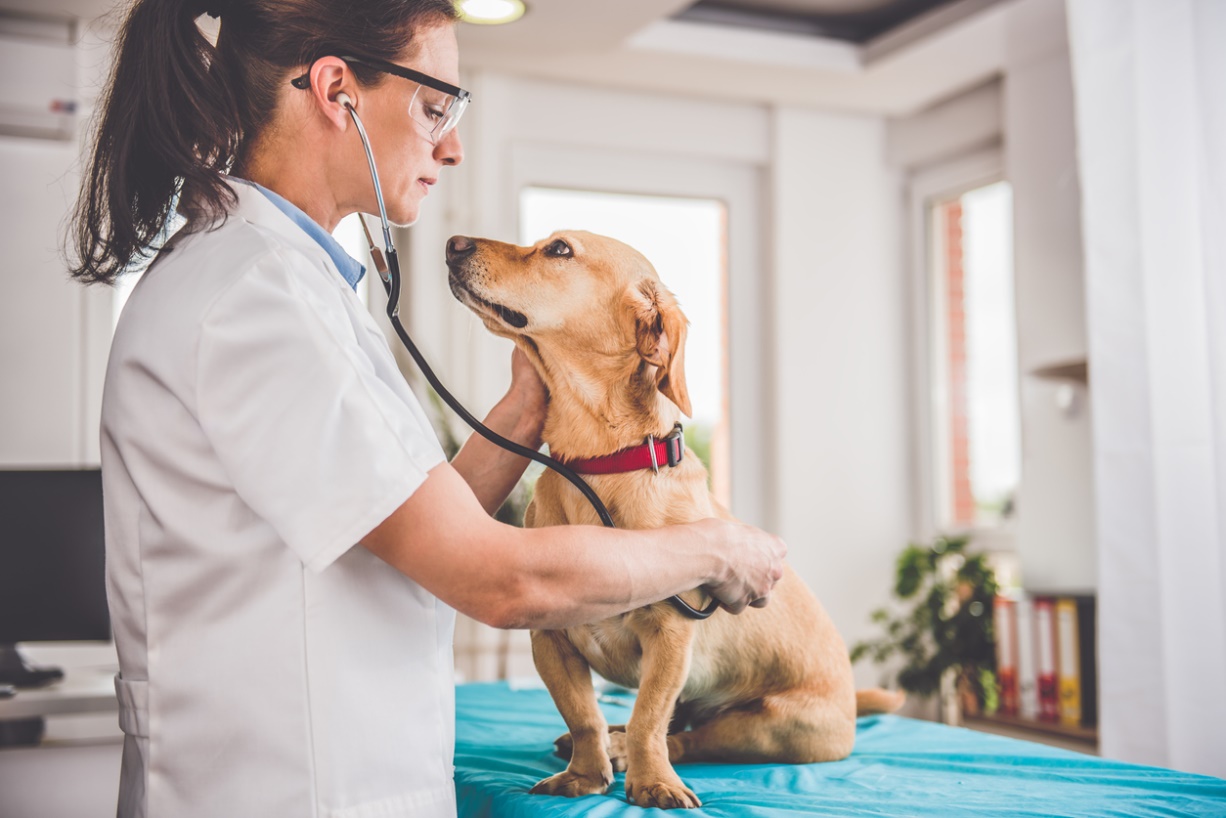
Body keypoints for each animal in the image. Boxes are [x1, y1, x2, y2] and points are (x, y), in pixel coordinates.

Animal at [446, 231, 907, 814]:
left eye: (559, 250)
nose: (452, 243)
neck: (599, 466)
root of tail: (850, 698)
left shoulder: (671, 638)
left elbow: (649, 718)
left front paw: (650, 781)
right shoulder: (549, 639)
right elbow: (583, 715)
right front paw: (584, 775)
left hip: (773, 728)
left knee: (685, 737)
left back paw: (631, 751)